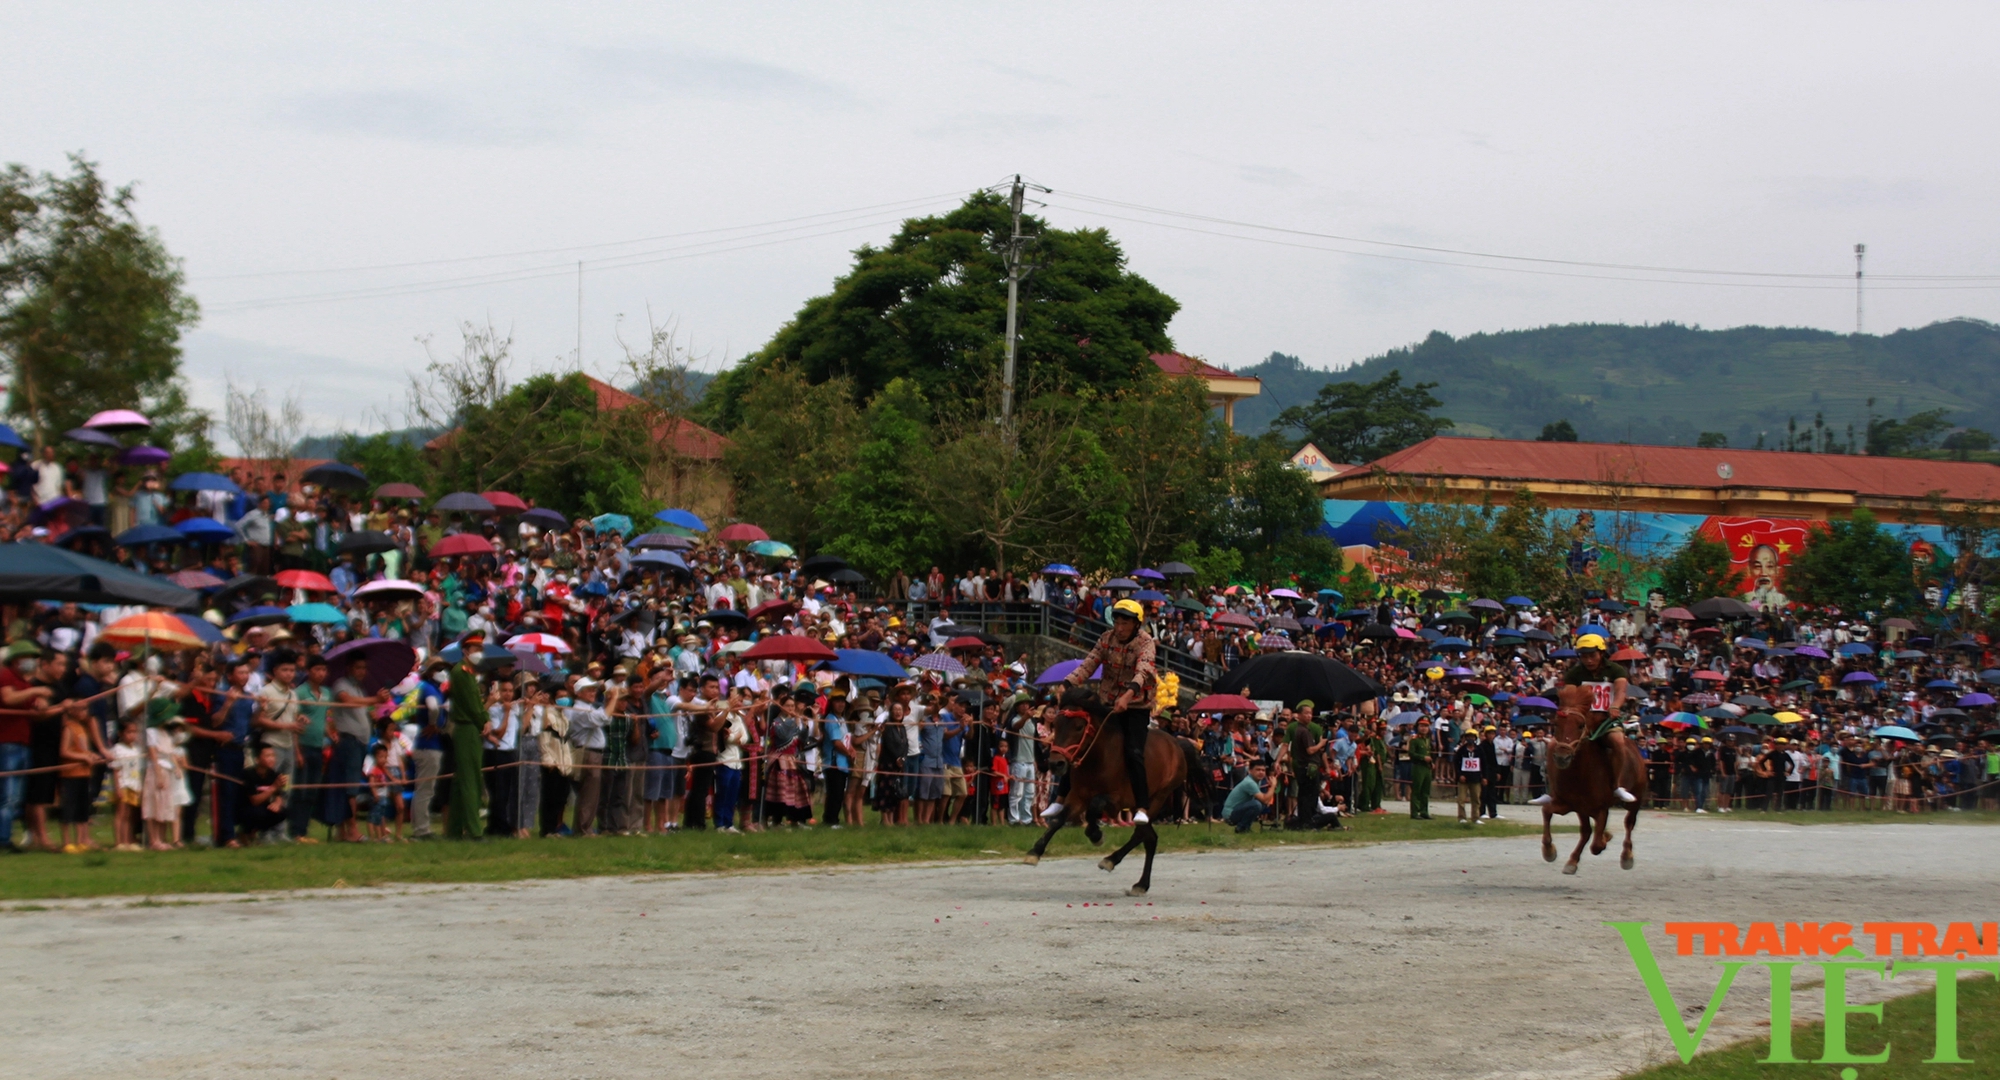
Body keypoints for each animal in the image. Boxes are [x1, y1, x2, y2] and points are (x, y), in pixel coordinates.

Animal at [1032, 692, 1200, 896]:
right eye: (1055, 725)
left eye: (1079, 726)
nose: (1055, 763)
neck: (1098, 758)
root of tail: (1177, 744)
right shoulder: (1077, 797)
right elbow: (1059, 819)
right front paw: (1035, 852)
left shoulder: (1117, 800)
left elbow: (1095, 805)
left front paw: (1096, 835)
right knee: (1149, 838)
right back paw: (1137, 880)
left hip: (1156, 799)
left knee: (1142, 835)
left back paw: (1119, 867)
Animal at [1544, 688, 1640, 872]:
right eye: (1556, 724)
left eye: (1580, 725)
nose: (1562, 757)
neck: (1580, 774)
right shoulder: (1567, 804)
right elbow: (1547, 811)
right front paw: (1549, 851)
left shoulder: (1600, 810)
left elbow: (1596, 845)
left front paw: (1605, 839)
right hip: (1582, 810)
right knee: (1586, 831)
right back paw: (1572, 862)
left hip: (1635, 800)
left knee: (1629, 823)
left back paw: (1627, 856)